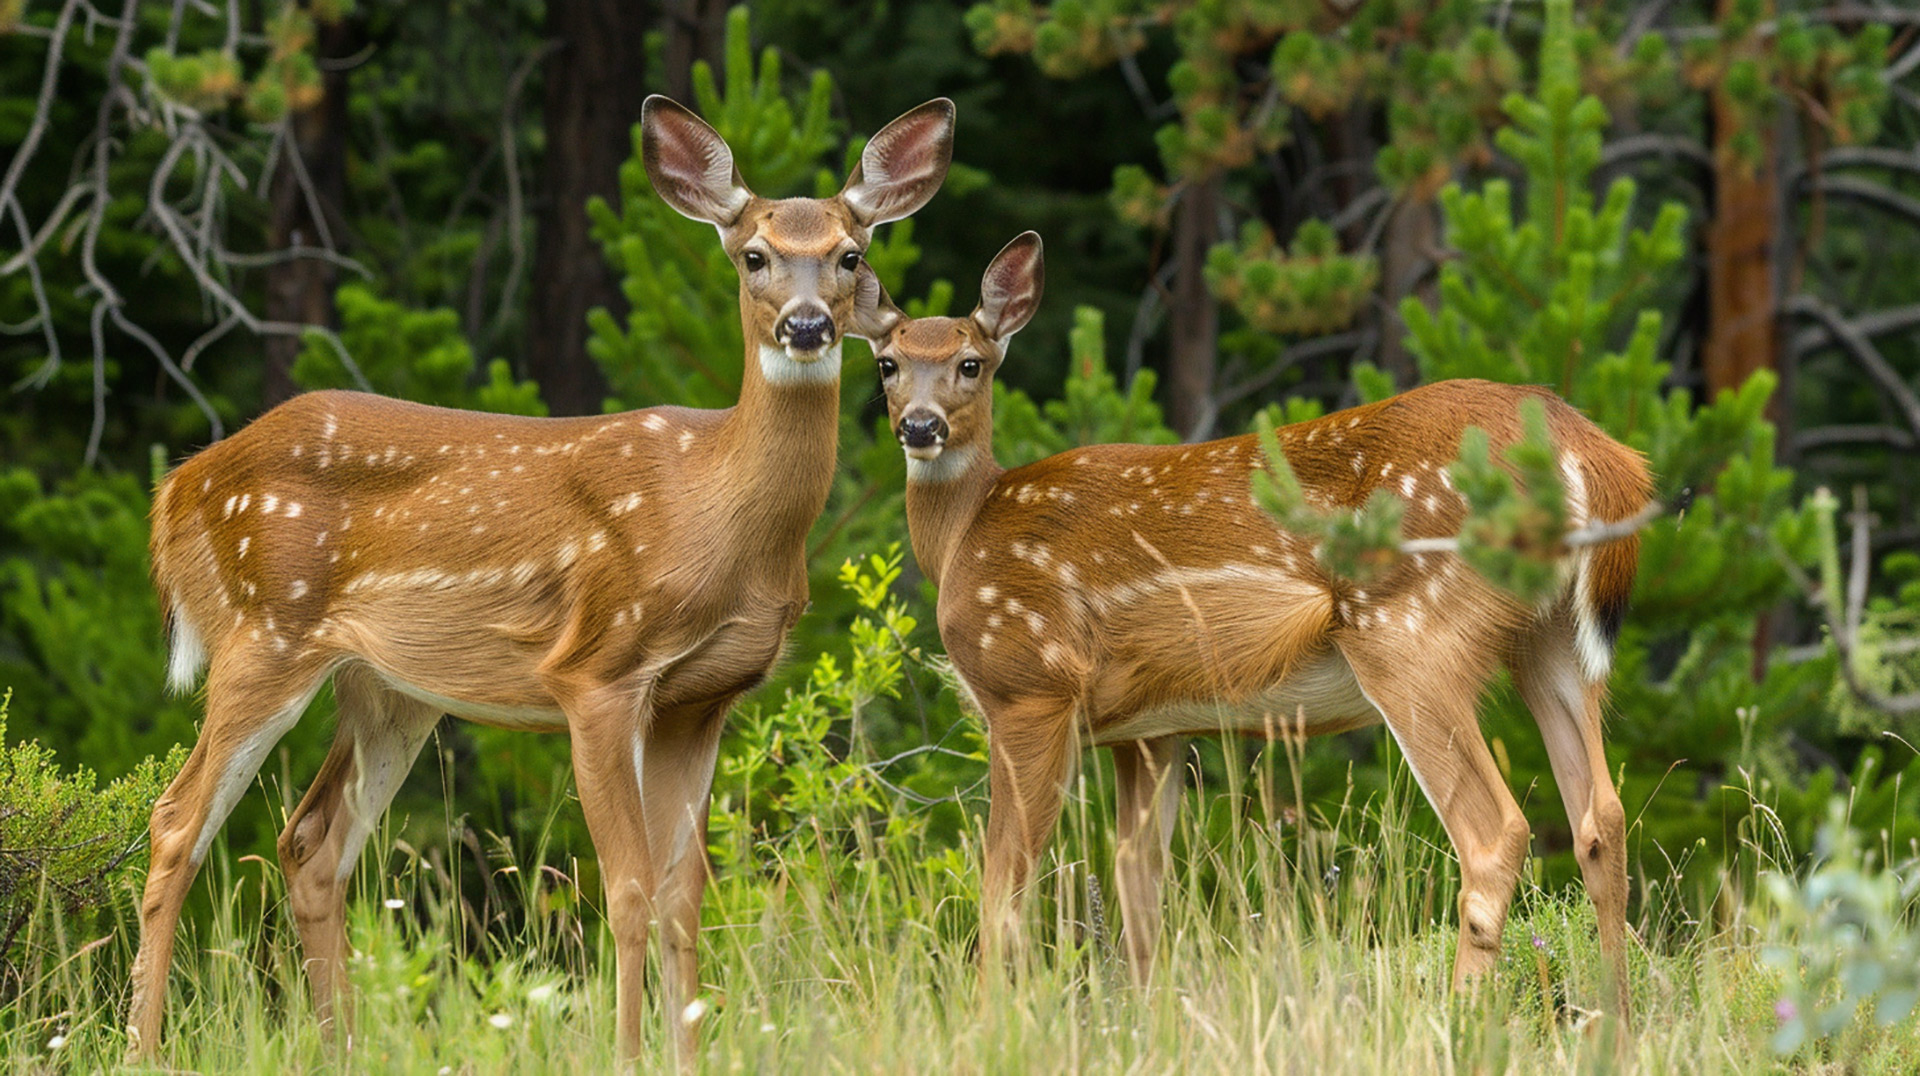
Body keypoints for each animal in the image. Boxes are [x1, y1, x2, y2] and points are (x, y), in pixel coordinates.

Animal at [131, 92, 956, 1060]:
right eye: (753, 255)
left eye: (849, 254)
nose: (807, 326)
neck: (717, 514)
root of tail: (178, 487)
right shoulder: (596, 669)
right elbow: (627, 891)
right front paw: (629, 1056)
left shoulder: (701, 698)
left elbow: (682, 896)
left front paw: (684, 1056)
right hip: (262, 632)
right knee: (176, 823)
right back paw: (142, 1047)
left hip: (388, 688)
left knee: (312, 845)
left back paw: (342, 1049)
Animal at [852, 233, 1651, 1014]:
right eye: (887, 363)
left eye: (971, 364)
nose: (919, 426)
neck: (966, 534)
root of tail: (1592, 452)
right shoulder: (1150, 732)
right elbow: (1140, 897)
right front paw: (1147, 1024)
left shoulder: (1028, 683)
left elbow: (1003, 892)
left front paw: (986, 1023)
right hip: (1547, 639)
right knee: (1601, 821)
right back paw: (1614, 1020)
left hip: (1409, 628)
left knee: (1496, 833)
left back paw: (1462, 1019)